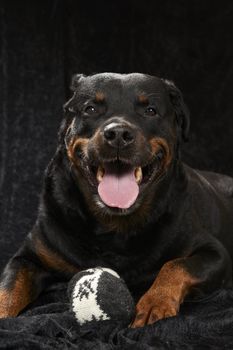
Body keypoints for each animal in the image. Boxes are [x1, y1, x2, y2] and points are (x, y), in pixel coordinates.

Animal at [0, 72, 233, 326]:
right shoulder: (28, 257)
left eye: (150, 110)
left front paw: (155, 302)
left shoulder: (214, 252)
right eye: (90, 109)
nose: (119, 134)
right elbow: (9, 288)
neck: (114, 225)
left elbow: (175, 265)